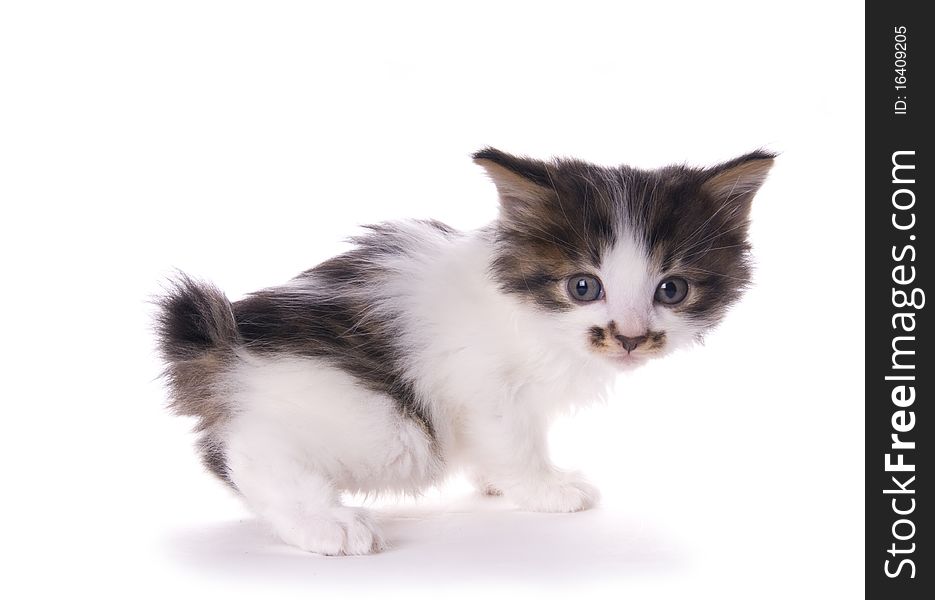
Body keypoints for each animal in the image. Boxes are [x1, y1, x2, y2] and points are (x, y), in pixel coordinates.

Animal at [155, 148, 776, 556]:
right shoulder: (482, 386)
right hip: (379, 426)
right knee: (244, 452)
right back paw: (325, 522)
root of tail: (229, 349)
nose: (628, 336)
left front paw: (496, 482)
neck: (529, 319)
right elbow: (515, 442)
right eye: (583, 287)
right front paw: (548, 489)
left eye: (671, 290)